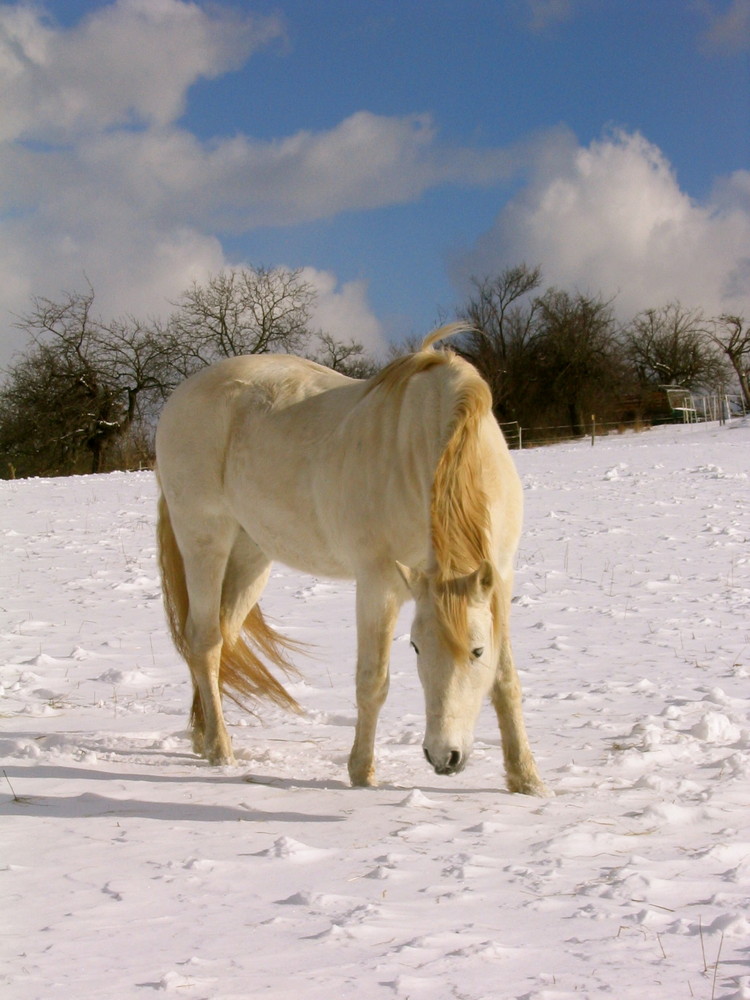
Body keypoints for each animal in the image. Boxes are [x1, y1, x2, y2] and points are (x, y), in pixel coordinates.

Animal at [156, 324, 548, 792]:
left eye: (476, 651)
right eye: (415, 647)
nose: (444, 757)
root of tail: (180, 396)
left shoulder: (500, 580)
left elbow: (506, 681)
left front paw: (526, 778)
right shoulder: (379, 585)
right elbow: (372, 681)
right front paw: (361, 772)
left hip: (251, 557)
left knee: (222, 639)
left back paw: (201, 734)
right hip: (205, 543)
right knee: (204, 641)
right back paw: (219, 747)